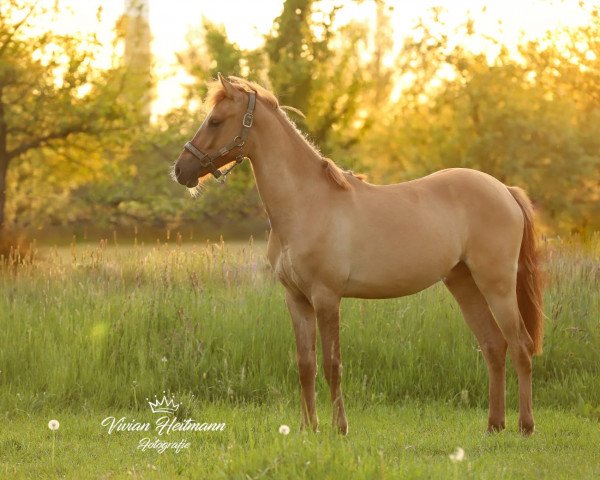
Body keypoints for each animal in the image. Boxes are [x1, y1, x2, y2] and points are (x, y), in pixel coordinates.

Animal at [172, 74, 544, 436]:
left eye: (216, 121)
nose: (180, 170)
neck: (307, 203)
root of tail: (504, 190)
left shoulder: (326, 297)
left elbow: (331, 364)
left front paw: (340, 428)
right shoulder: (296, 299)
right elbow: (305, 364)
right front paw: (308, 428)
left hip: (496, 284)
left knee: (521, 346)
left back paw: (525, 426)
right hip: (464, 283)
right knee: (494, 346)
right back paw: (494, 425)